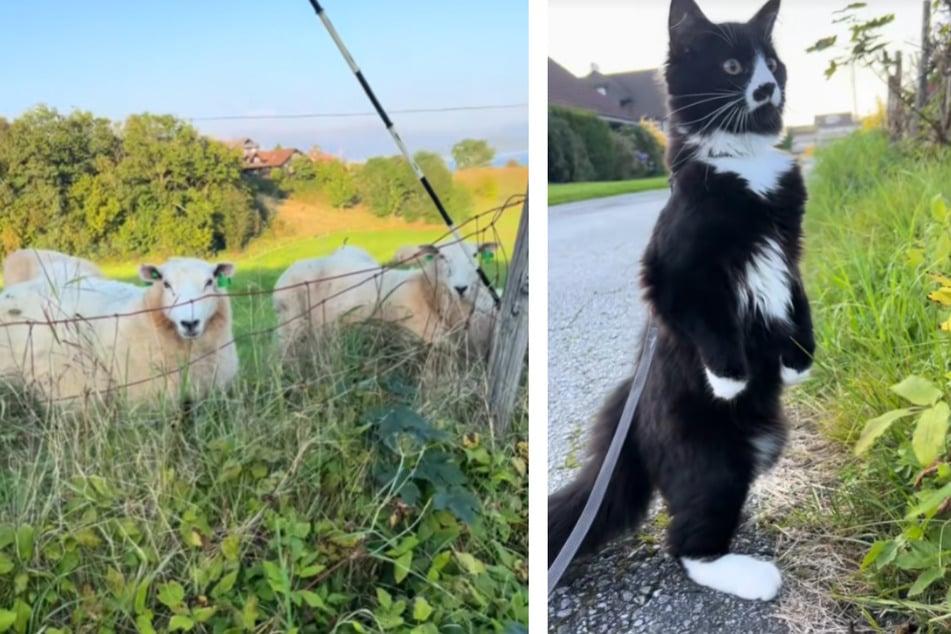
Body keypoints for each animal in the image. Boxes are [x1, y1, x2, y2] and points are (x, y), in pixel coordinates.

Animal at [548, 0, 816, 600]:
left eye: (773, 64)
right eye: (734, 67)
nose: (768, 87)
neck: (744, 165)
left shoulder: (788, 250)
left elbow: (799, 301)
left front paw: (798, 363)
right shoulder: (671, 269)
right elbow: (707, 318)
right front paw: (730, 377)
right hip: (714, 461)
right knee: (685, 547)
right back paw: (752, 575)